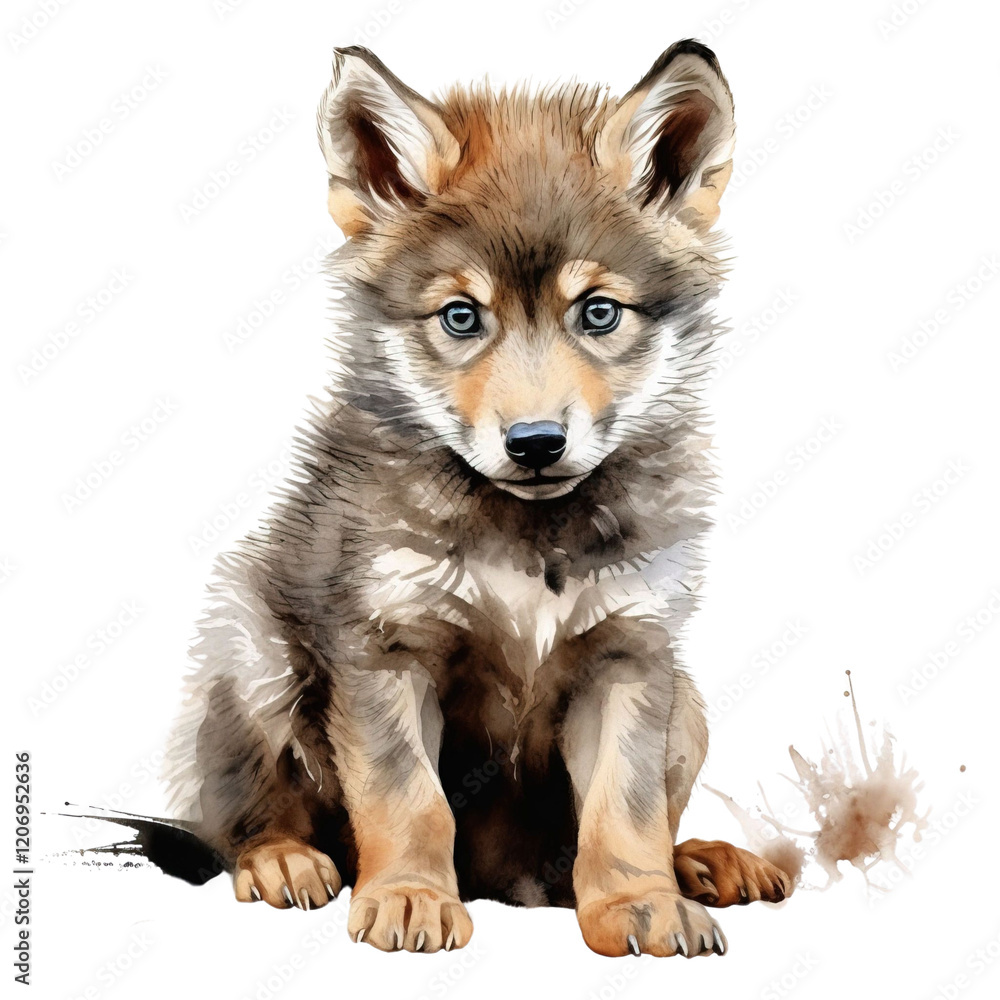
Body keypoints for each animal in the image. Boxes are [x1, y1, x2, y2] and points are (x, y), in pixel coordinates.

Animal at [164, 39, 792, 957]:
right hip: (252, 653)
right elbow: (409, 799)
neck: (530, 537)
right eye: (461, 318)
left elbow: (626, 811)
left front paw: (640, 902)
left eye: (598, 313)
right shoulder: (386, 651)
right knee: (244, 818)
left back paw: (702, 862)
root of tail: (511, 883)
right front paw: (411, 897)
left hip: (690, 706)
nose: (535, 443)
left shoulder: (630, 656)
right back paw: (282, 859)